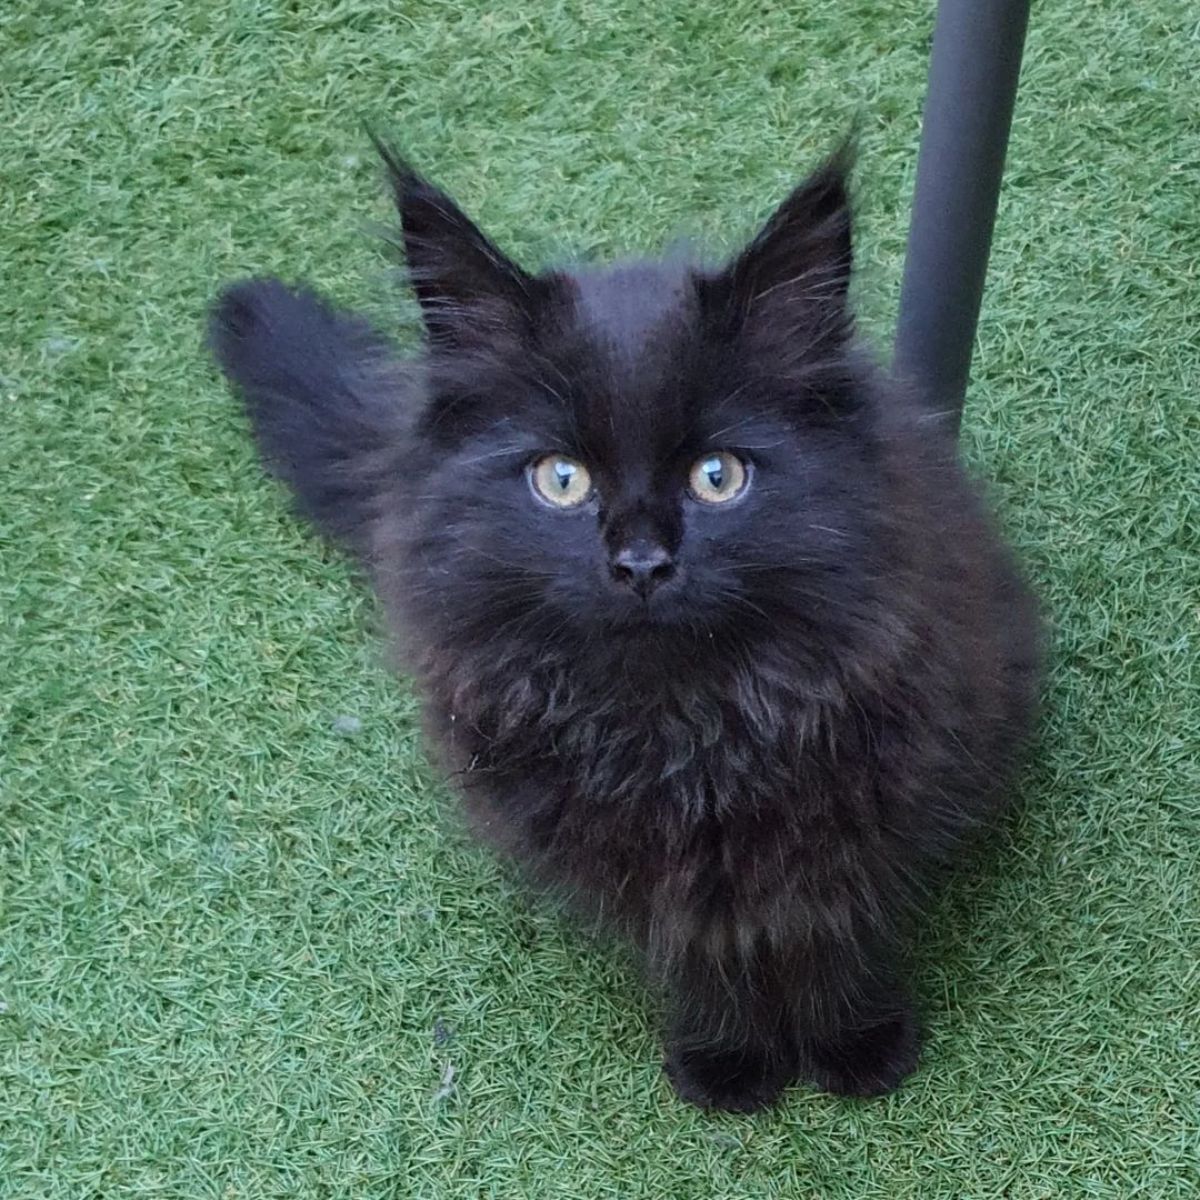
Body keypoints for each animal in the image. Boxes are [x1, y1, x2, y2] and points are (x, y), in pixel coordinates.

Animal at [208, 140, 1041, 1113]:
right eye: (561, 480)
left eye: (717, 476)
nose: (641, 564)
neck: (682, 722)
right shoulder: (643, 870)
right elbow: (701, 947)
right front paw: (728, 1059)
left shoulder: (872, 809)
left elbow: (834, 928)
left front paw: (855, 1045)